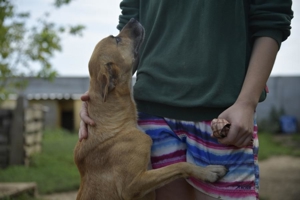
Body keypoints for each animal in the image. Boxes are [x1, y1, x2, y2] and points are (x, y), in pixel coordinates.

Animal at [74, 18, 226, 199]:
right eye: (116, 39)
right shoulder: (131, 186)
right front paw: (207, 172)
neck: (114, 122)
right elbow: (179, 165)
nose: (133, 19)